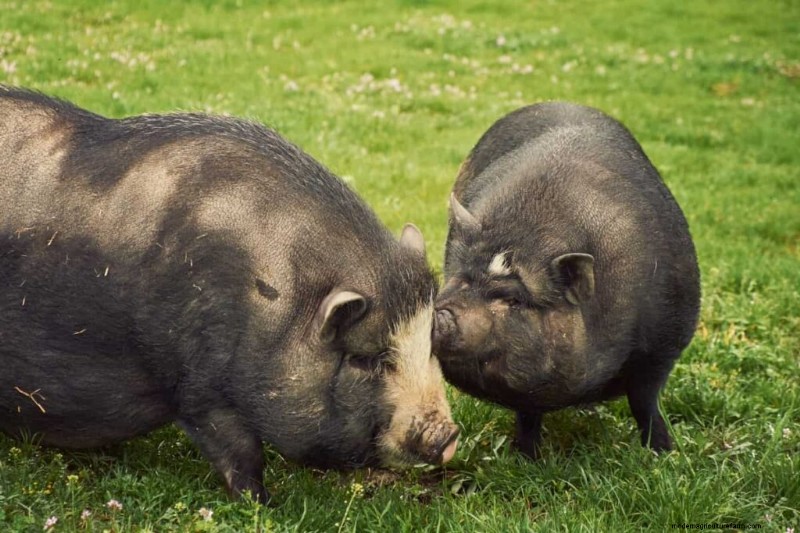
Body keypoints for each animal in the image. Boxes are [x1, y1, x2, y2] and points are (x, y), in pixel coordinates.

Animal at [0, 86, 458, 503]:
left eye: (429, 344)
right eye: (367, 359)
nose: (449, 435)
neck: (274, 303)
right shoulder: (200, 385)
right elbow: (240, 453)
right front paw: (263, 505)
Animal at [433, 102, 700, 459]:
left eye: (514, 299)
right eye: (460, 280)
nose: (440, 314)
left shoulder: (665, 342)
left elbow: (645, 403)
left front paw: (662, 455)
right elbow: (527, 415)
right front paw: (528, 459)